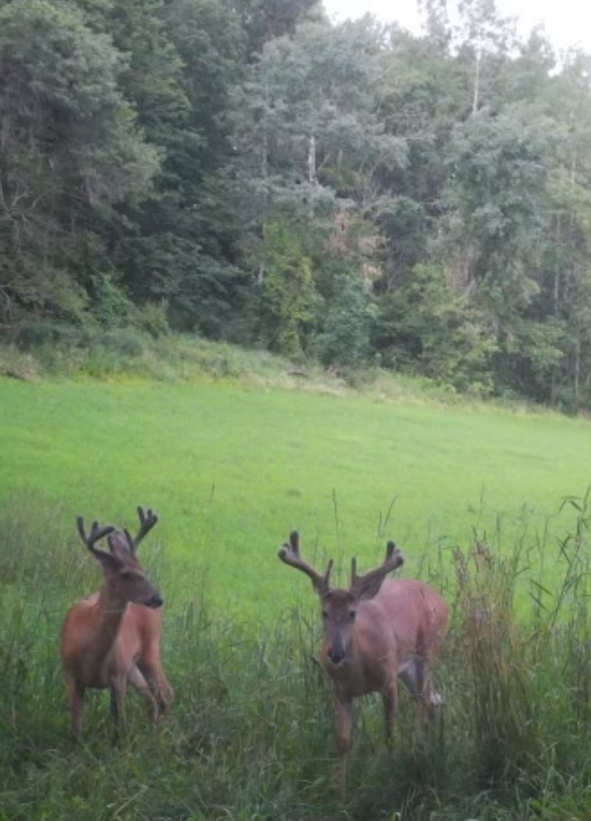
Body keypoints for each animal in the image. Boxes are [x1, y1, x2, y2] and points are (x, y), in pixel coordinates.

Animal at [61, 507, 173, 740]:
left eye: (144, 570)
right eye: (126, 574)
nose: (158, 598)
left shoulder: (118, 675)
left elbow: (119, 725)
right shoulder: (71, 674)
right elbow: (75, 730)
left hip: (150, 649)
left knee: (165, 694)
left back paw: (159, 740)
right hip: (133, 667)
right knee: (152, 699)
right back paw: (153, 736)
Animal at [278, 531, 449, 800]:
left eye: (352, 613)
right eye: (324, 612)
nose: (335, 653)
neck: (357, 673)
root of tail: (442, 600)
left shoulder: (389, 681)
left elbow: (389, 736)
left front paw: (390, 780)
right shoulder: (339, 691)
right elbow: (342, 741)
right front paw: (341, 796)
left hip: (428, 653)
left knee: (426, 703)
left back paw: (424, 752)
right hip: (411, 671)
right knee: (434, 700)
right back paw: (431, 747)